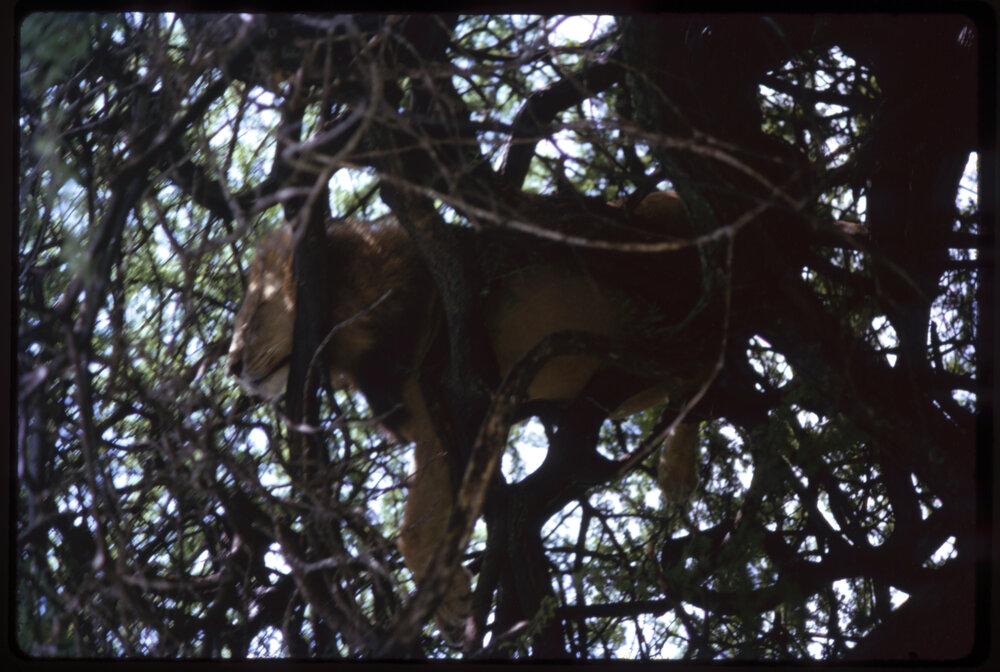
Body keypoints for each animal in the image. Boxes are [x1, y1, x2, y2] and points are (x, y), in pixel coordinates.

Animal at [227, 192, 715, 643]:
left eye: (254, 316)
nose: (232, 367)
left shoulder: (453, 394)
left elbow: (411, 529)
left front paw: (449, 600)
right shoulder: (444, 422)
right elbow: (427, 518)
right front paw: (447, 602)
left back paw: (676, 468)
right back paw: (677, 468)